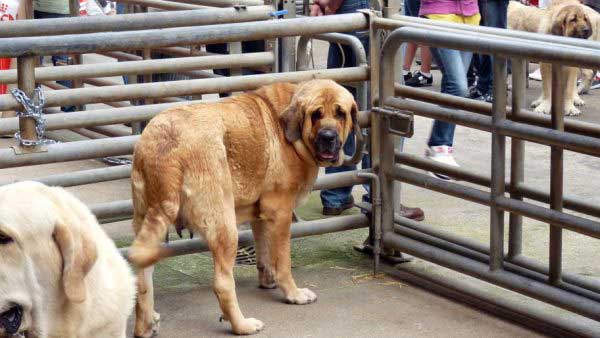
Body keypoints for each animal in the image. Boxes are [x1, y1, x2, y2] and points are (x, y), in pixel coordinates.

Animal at [127, 80, 360, 338]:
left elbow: (264, 252)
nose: (328, 136)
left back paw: (146, 326)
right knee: (222, 283)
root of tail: (167, 145)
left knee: (143, 279)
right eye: (316, 114)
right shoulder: (281, 213)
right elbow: (283, 260)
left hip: (147, 223)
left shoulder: (261, 215)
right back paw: (242, 325)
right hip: (225, 227)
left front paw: (268, 280)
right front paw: (293, 294)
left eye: (340, 113)